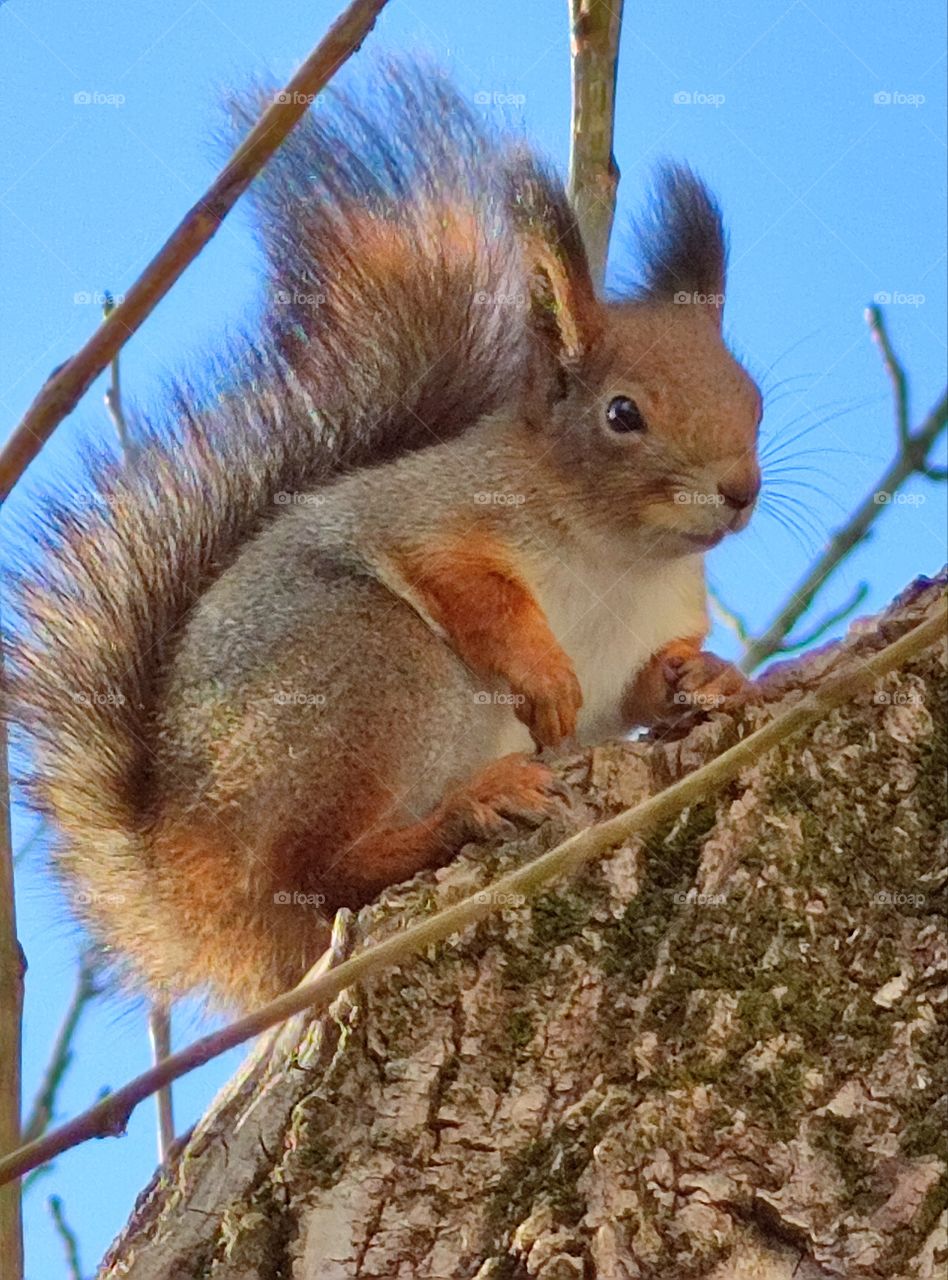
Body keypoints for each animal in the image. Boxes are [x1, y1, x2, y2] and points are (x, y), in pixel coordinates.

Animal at [5, 65, 762, 1011]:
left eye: (753, 395)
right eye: (622, 413)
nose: (741, 492)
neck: (615, 559)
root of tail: (187, 888)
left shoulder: (645, 631)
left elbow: (640, 690)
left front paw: (709, 676)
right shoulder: (430, 515)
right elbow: (467, 586)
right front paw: (546, 674)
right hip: (372, 673)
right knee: (320, 872)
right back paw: (463, 812)